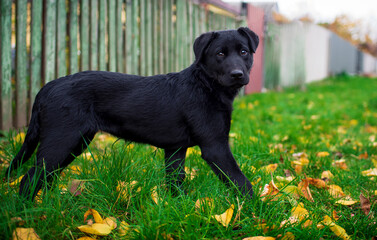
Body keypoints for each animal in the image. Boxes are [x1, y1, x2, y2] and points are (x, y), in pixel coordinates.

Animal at [6, 27, 258, 202]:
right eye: (220, 54)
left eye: (243, 52)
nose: (238, 74)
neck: (206, 85)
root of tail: (47, 87)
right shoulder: (215, 146)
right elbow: (240, 181)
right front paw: (257, 210)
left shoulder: (175, 149)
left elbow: (175, 181)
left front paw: (182, 208)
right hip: (61, 141)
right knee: (29, 180)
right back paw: (26, 214)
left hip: (74, 143)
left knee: (45, 177)